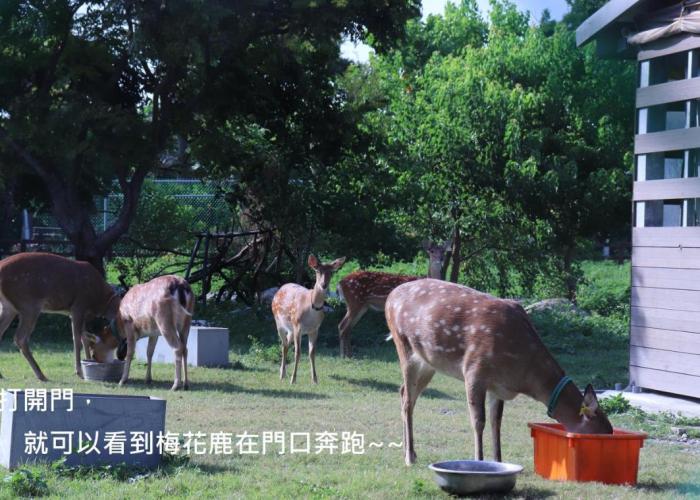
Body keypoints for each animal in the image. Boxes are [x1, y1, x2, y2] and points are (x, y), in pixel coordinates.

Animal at [0, 252, 120, 381]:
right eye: (95, 353)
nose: (98, 360)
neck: (99, 301)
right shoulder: (78, 306)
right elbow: (77, 340)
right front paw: (79, 372)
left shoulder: (79, 313)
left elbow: (84, 338)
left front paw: (85, 363)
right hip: (28, 304)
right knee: (20, 338)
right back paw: (41, 375)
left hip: (9, 307)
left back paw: (2, 375)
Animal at [272, 254, 346, 384]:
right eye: (317, 270)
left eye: (331, 272)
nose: (324, 285)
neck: (312, 309)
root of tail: (279, 289)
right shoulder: (298, 325)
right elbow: (298, 353)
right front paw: (293, 380)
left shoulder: (315, 329)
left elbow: (312, 353)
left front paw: (315, 379)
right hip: (279, 321)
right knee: (283, 345)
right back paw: (282, 375)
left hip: (291, 329)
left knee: (286, 344)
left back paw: (283, 372)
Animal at [385, 278, 613, 466]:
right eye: (599, 435)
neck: (522, 374)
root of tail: (390, 297)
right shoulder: (474, 370)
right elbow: (479, 421)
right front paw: (478, 461)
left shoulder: (499, 387)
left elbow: (497, 423)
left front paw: (498, 461)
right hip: (404, 346)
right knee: (408, 400)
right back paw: (409, 457)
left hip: (428, 363)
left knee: (404, 391)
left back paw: (410, 452)